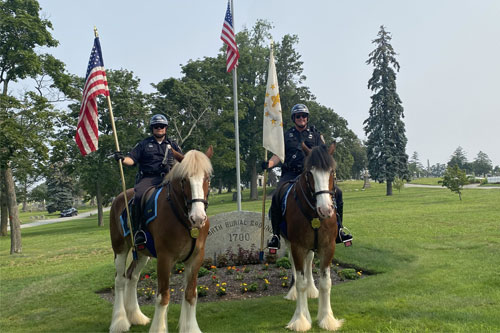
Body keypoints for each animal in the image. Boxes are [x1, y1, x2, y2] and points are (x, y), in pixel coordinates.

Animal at [109, 145, 213, 332]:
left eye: (207, 178)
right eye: (184, 180)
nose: (198, 218)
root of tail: (118, 198)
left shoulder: (196, 258)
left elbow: (190, 294)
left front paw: (190, 327)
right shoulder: (165, 258)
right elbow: (163, 296)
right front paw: (159, 327)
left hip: (142, 253)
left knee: (132, 277)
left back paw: (135, 316)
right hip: (120, 248)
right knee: (120, 280)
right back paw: (120, 322)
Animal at [282, 143, 344, 330]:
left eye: (331, 171)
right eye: (310, 173)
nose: (325, 209)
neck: (314, 215)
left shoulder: (327, 246)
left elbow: (326, 282)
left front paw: (327, 318)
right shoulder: (297, 246)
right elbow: (300, 281)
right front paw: (300, 319)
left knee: (309, 262)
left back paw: (312, 289)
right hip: (289, 244)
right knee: (295, 266)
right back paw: (293, 293)